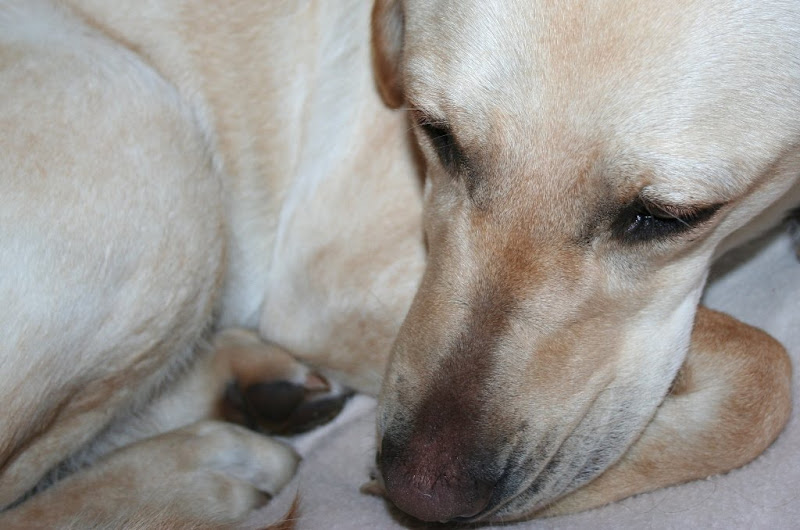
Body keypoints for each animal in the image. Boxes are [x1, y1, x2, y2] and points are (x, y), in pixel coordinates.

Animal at [0, 0, 795, 527]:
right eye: (435, 132)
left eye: (672, 216)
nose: (421, 490)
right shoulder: (329, 282)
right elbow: (766, 372)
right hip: (160, 159)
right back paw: (204, 473)